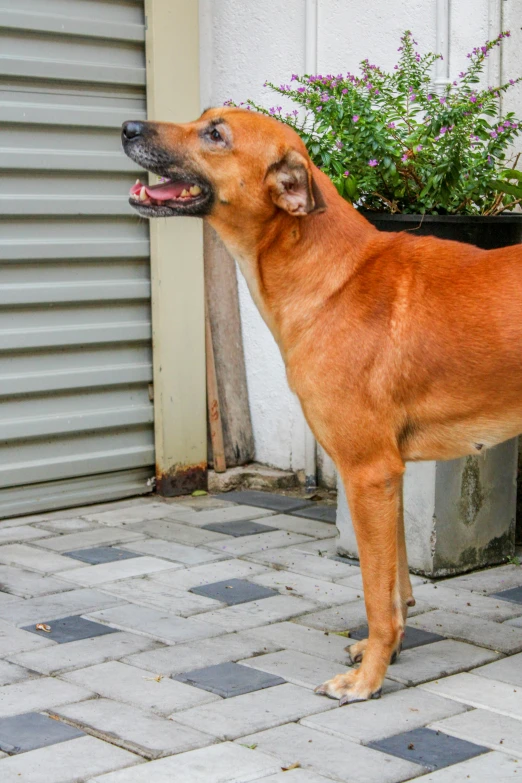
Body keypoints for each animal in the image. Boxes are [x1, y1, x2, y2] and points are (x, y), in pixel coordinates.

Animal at [121, 108, 520, 704]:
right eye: (203, 119)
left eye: (215, 134)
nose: (127, 128)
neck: (332, 274)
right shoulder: (388, 477)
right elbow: (397, 587)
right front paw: (386, 653)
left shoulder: (368, 473)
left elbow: (378, 597)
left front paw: (368, 679)